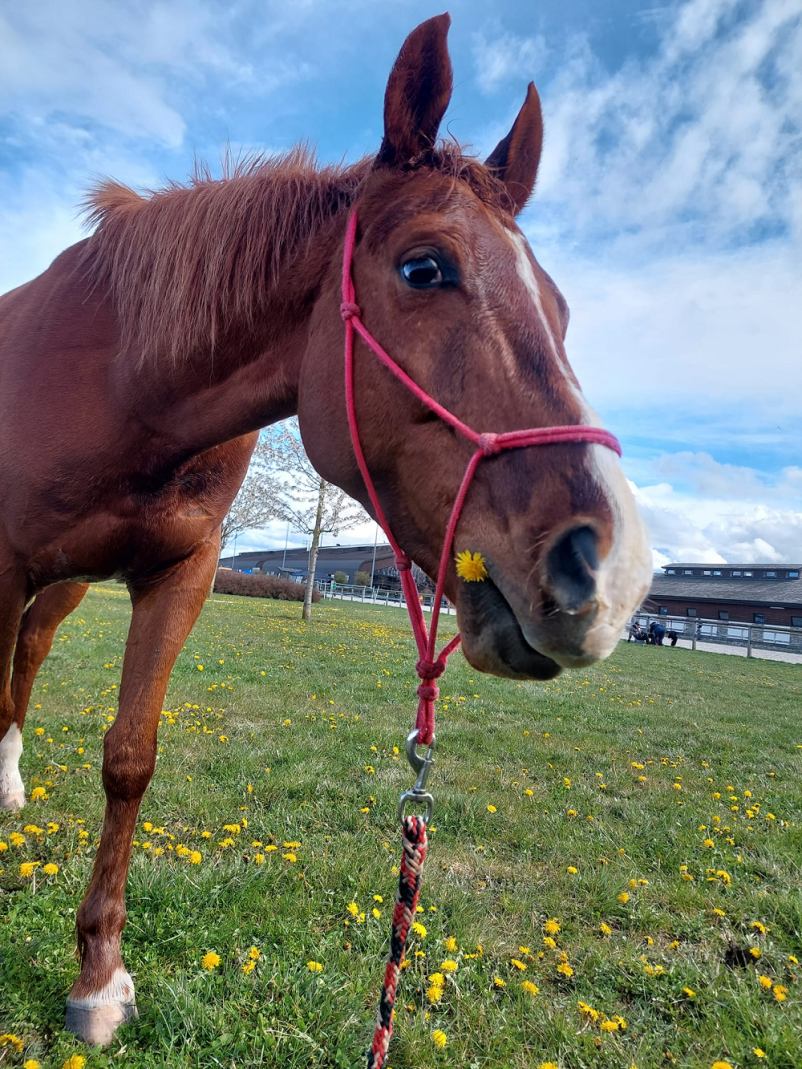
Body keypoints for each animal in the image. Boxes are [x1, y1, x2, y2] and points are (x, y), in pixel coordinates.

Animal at [0, 12, 654, 1047]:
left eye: (559, 307)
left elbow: (130, 759)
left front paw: (99, 978)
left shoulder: (179, 576)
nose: (612, 572)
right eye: (425, 267)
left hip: (63, 581)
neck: (121, 380)